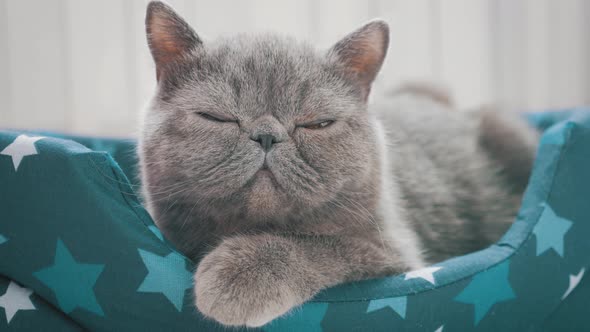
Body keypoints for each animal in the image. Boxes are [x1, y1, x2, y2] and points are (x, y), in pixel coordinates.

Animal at [139, 1, 540, 328]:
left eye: (317, 124)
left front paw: (241, 275)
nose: (267, 136)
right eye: (215, 117)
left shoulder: (397, 257)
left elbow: (325, 245)